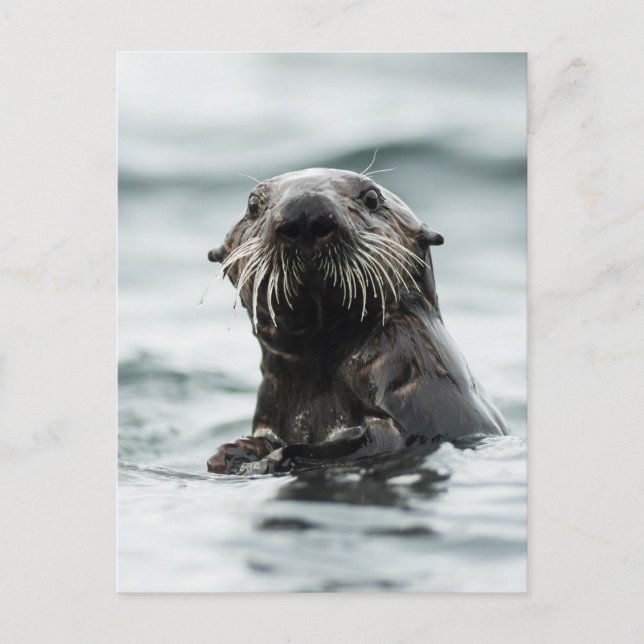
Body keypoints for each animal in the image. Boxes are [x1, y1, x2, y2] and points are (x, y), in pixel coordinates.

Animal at [206, 168, 508, 475]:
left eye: (372, 197)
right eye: (253, 204)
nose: (305, 213)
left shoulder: (408, 368)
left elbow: (376, 440)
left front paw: (271, 459)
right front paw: (234, 452)